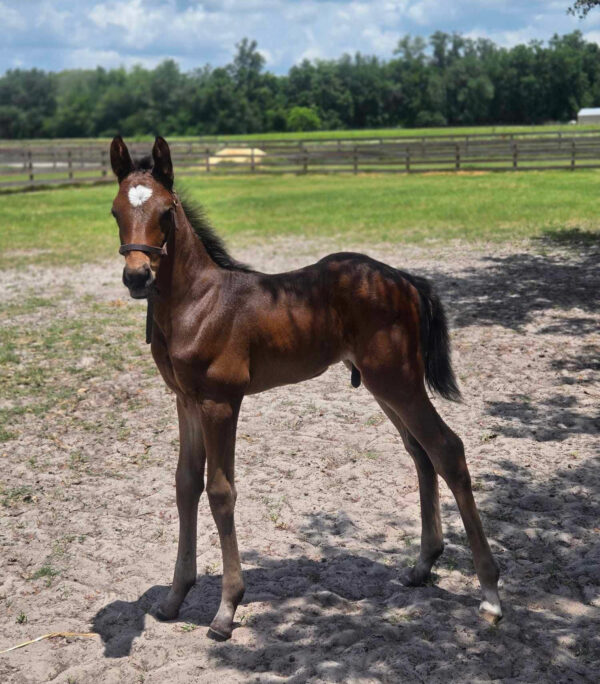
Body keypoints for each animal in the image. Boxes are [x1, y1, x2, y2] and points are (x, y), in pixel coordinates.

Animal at [109, 136, 502, 640]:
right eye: (116, 211)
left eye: (164, 212)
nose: (138, 277)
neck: (198, 303)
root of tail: (405, 280)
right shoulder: (185, 401)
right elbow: (185, 484)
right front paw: (176, 597)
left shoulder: (221, 402)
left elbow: (220, 490)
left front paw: (226, 608)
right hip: (385, 385)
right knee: (421, 452)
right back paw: (422, 566)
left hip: (398, 380)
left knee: (447, 449)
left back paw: (490, 594)